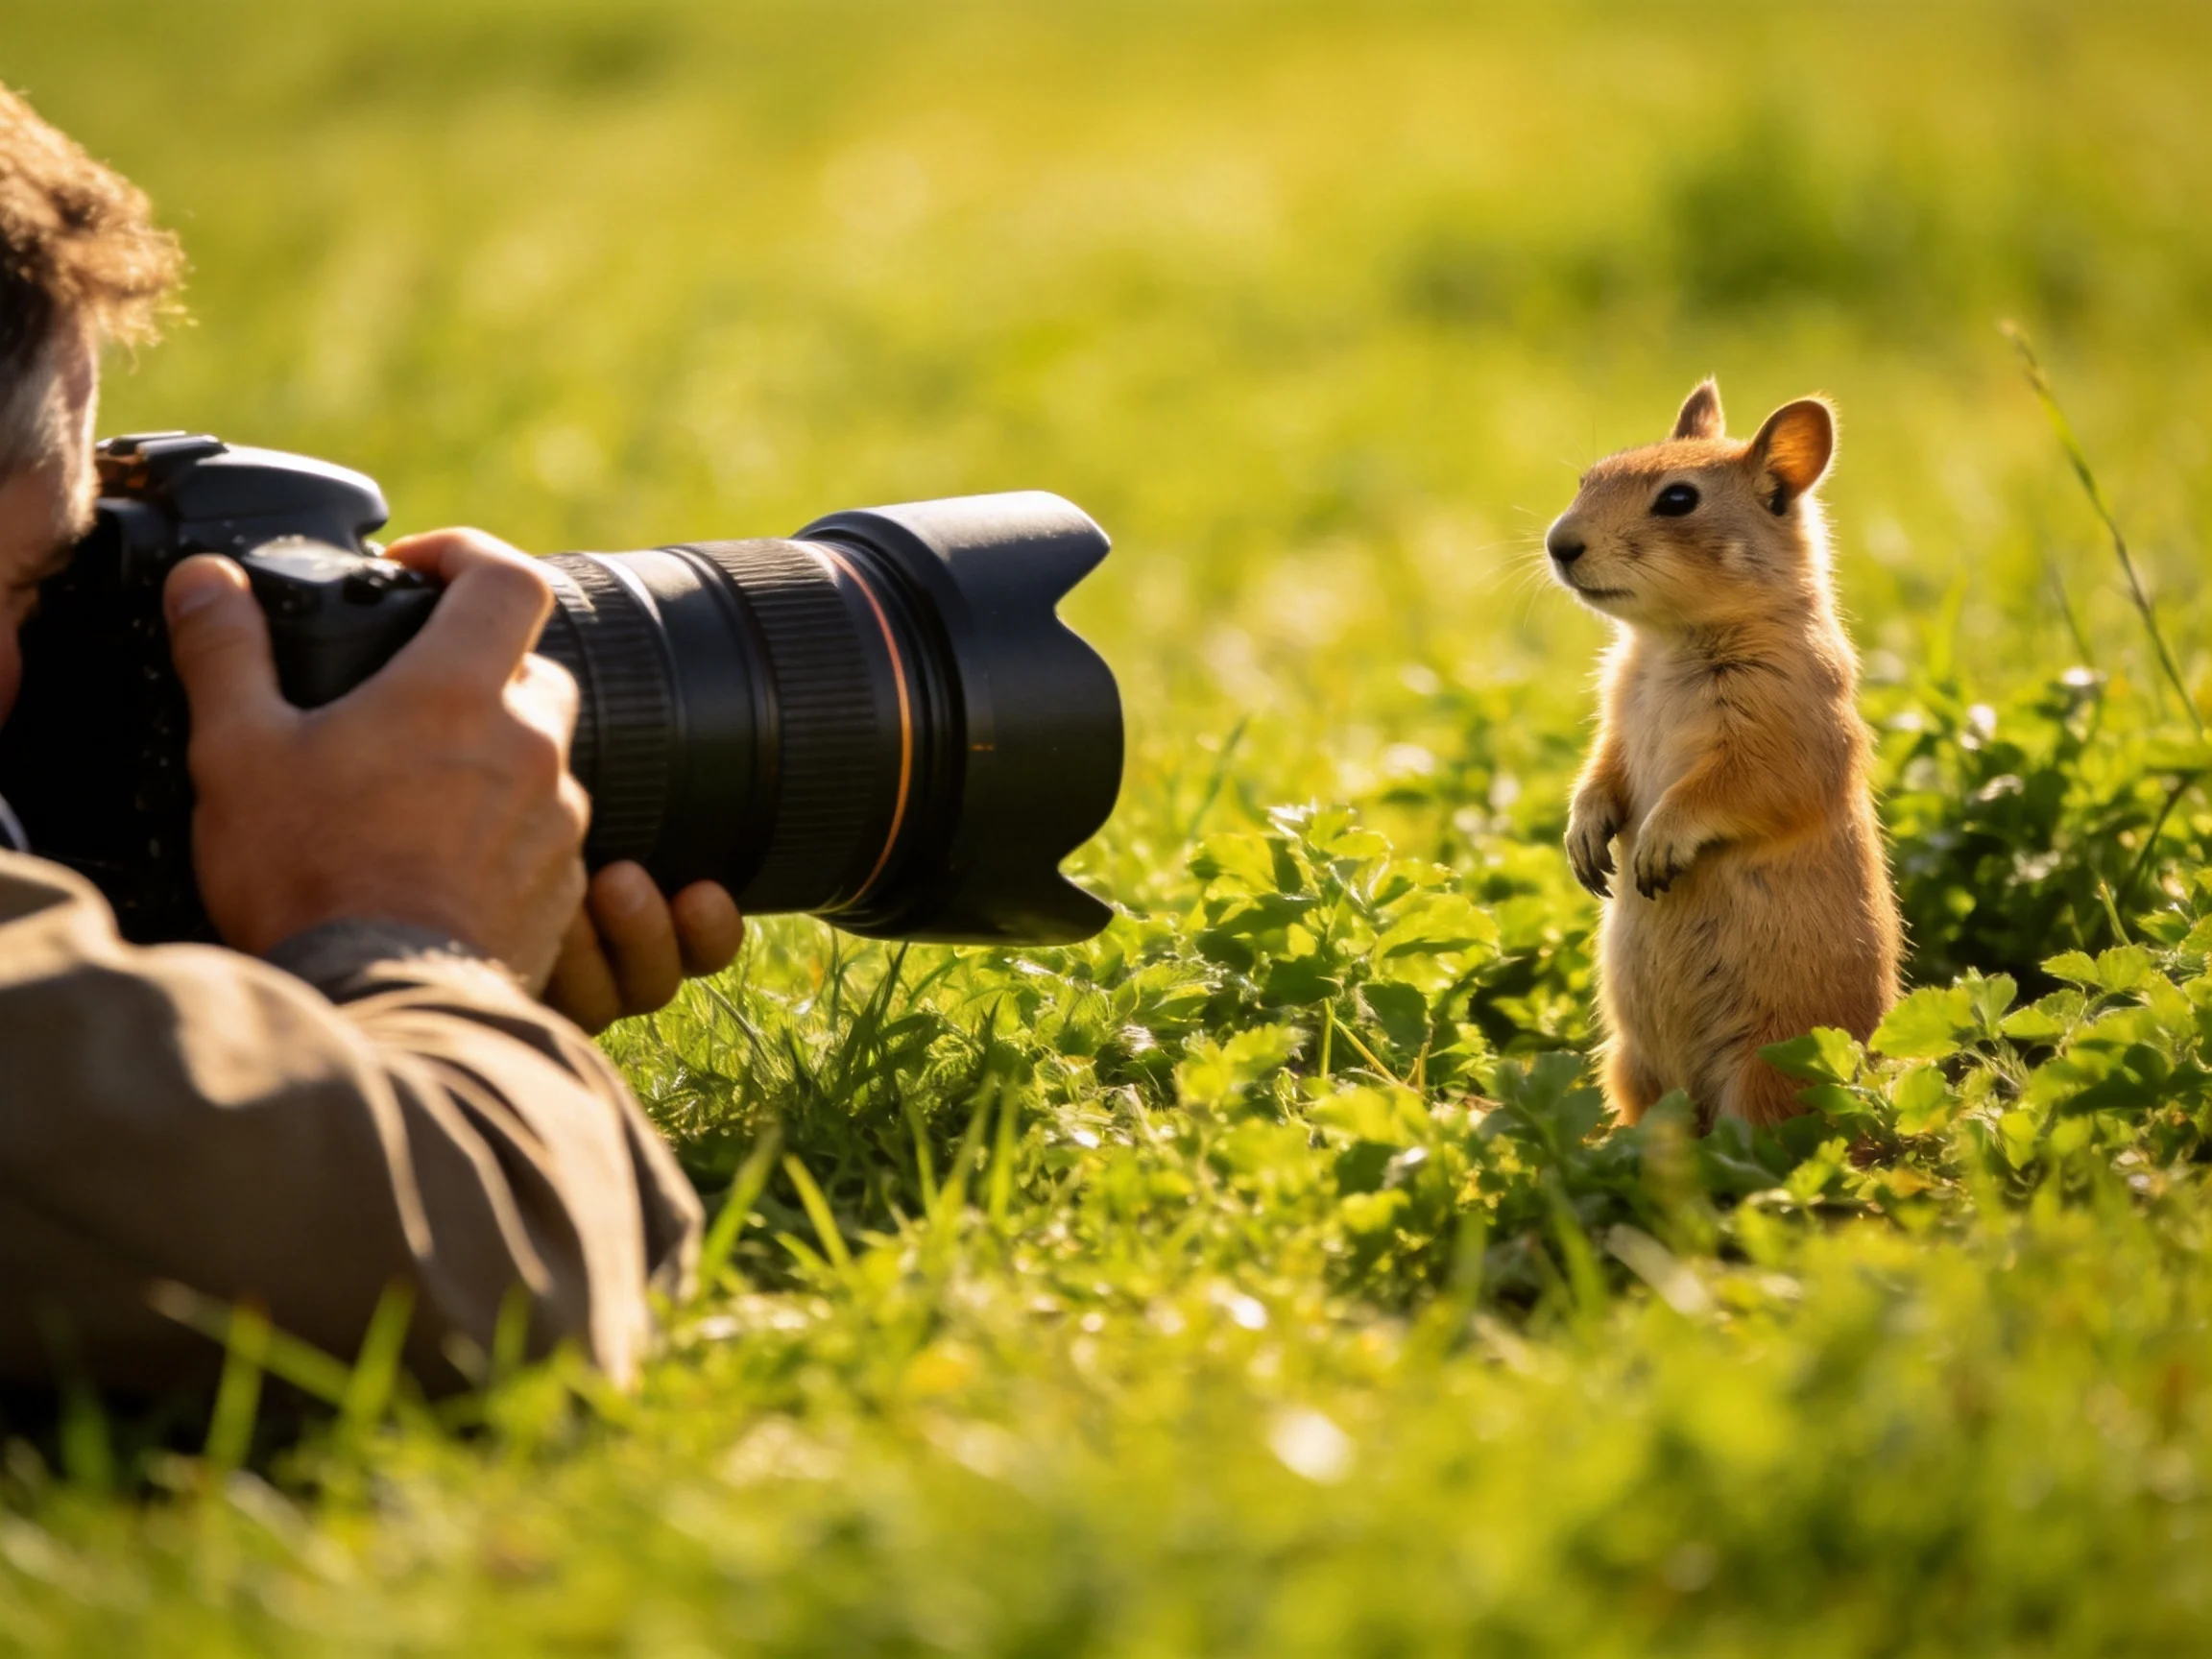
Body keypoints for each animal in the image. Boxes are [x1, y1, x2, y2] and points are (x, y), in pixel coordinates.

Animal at [1544, 379, 1901, 1130]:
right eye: (1589, 477)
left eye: (1678, 499)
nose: (1560, 545)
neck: (1668, 640)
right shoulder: (1616, 725)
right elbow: (1601, 773)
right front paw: (1585, 836)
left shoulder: (1785, 730)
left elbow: (1737, 790)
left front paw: (1658, 844)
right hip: (1629, 1068)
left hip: (1766, 1076)